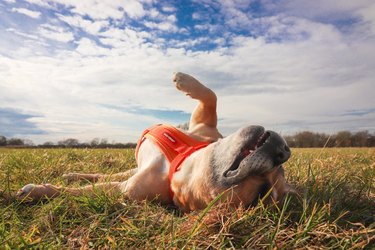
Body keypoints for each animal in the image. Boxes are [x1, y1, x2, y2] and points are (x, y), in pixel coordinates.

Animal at [15, 72, 294, 211]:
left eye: (260, 194)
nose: (284, 151)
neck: (180, 163)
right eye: (280, 168)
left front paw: (39, 192)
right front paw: (184, 79)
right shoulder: (205, 125)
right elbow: (211, 97)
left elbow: (82, 192)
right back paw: (73, 174)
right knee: (101, 174)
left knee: (104, 179)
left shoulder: (126, 191)